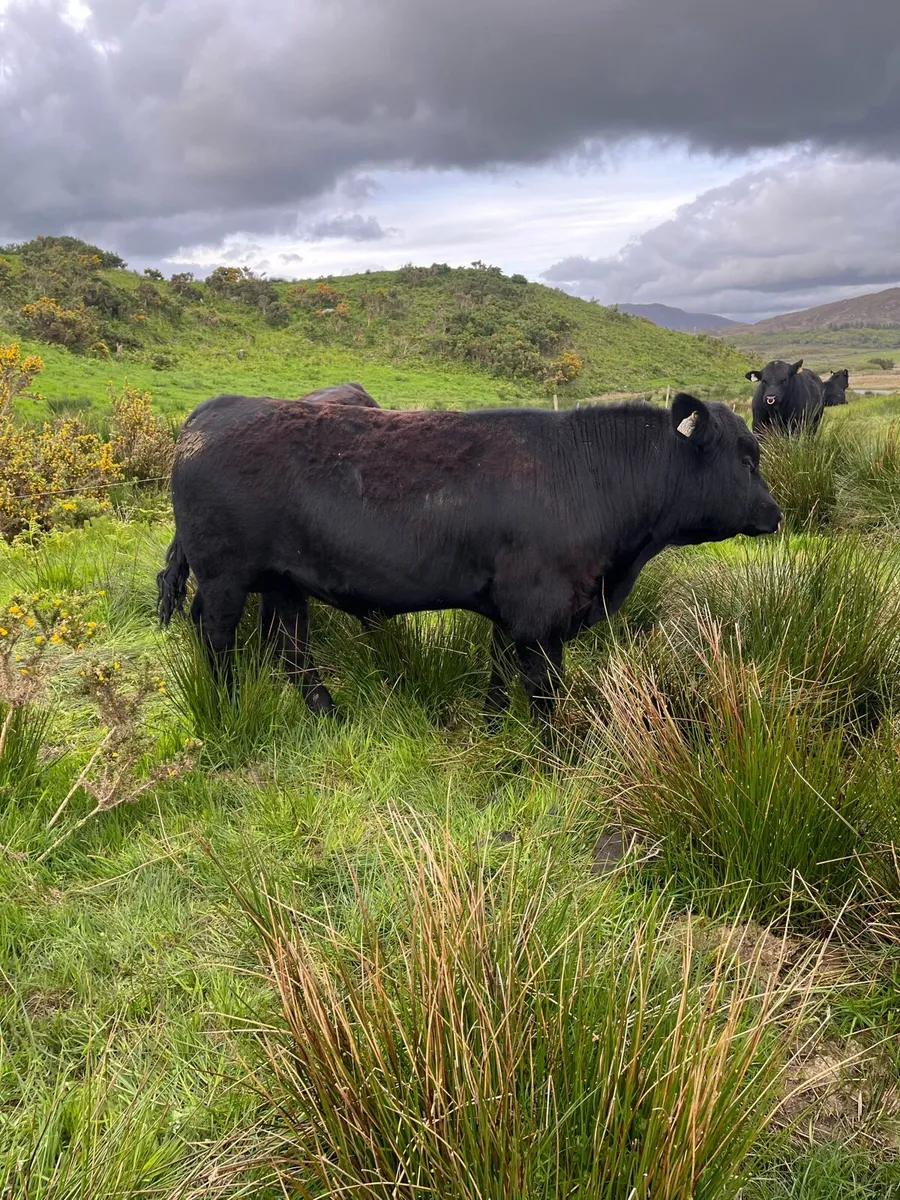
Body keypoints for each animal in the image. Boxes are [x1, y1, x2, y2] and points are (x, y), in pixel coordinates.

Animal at [157, 393, 781, 725]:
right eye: (746, 460)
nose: (776, 513)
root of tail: (211, 411)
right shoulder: (539, 616)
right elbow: (545, 694)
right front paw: (555, 760)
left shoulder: (509, 614)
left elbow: (499, 679)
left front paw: (493, 729)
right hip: (224, 579)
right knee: (217, 636)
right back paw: (229, 706)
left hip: (284, 582)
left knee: (290, 649)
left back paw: (328, 713)